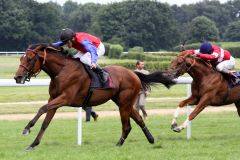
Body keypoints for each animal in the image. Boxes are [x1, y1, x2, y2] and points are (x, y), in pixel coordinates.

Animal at [13, 43, 174, 149]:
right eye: (21, 59)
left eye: (30, 58)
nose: (17, 77)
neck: (61, 71)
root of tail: (134, 73)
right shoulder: (54, 100)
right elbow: (46, 122)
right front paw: (33, 144)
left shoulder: (64, 98)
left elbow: (42, 108)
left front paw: (27, 128)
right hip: (123, 102)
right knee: (139, 119)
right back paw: (151, 139)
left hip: (124, 103)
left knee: (127, 125)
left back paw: (119, 143)